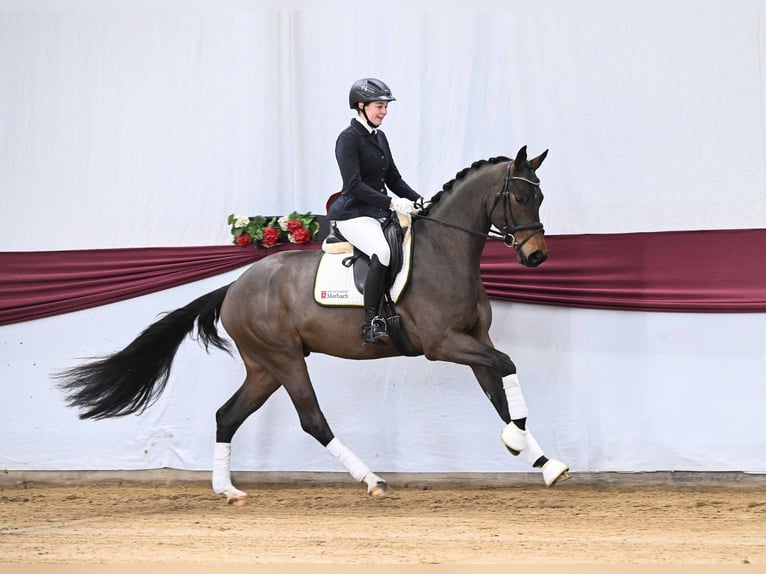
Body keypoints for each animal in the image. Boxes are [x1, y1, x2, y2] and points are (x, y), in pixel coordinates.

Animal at [55, 145, 570, 504]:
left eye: (542, 195)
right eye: (520, 195)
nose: (536, 256)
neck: (445, 252)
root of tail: (235, 286)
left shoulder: (475, 340)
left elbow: (500, 393)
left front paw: (543, 461)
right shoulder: (443, 343)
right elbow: (507, 367)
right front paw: (519, 443)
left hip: (264, 367)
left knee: (227, 415)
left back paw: (228, 490)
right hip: (284, 359)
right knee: (312, 419)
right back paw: (372, 480)